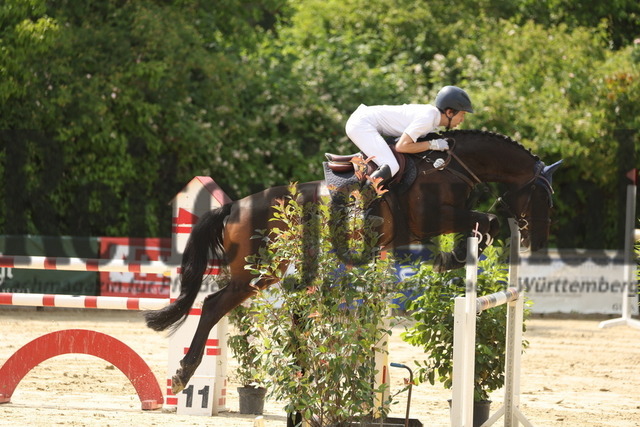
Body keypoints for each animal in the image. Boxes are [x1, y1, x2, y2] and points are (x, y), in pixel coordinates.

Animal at [144, 130, 560, 394]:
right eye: (544, 197)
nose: (538, 241)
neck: (449, 164)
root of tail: (233, 207)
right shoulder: (432, 218)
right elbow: (483, 219)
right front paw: (456, 256)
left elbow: (484, 221)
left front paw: (462, 252)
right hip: (253, 271)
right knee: (213, 305)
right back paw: (183, 374)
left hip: (267, 273)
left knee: (219, 305)